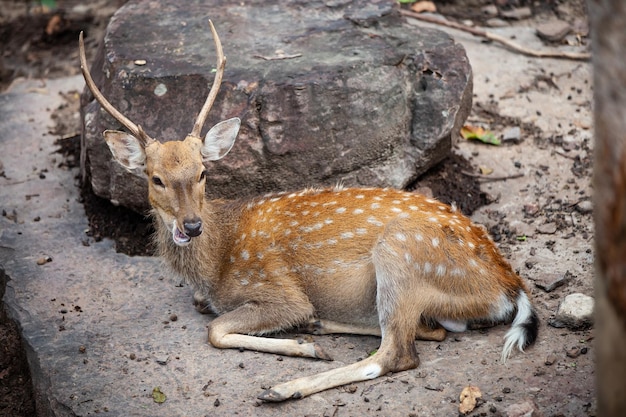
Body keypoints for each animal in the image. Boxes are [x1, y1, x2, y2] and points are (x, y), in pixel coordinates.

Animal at [78, 22, 536, 400]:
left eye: (203, 172)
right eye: (156, 178)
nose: (191, 225)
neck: (217, 262)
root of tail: (509, 287)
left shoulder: (278, 289)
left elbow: (216, 328)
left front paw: (302, 347)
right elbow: (205, 309)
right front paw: (306, 335)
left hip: (401, 253)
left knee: (397, 354)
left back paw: (286, 384)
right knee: (434, 330)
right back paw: (320, 327)